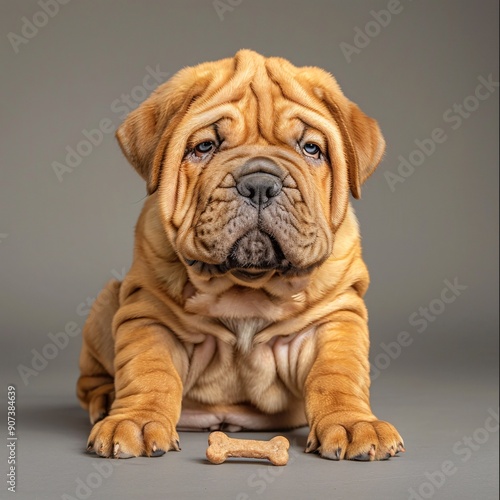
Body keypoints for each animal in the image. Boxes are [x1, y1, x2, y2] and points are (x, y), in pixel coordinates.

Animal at [79, 49, 406, 460]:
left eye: (311, 149)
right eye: (205, 147)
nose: (260, 185)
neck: (247, 286)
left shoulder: (334, 316)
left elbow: (336, 375)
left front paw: (352, 424)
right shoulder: (148, 314)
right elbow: (149, 371)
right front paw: (135, 421)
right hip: (108, 300)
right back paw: (106, 399)